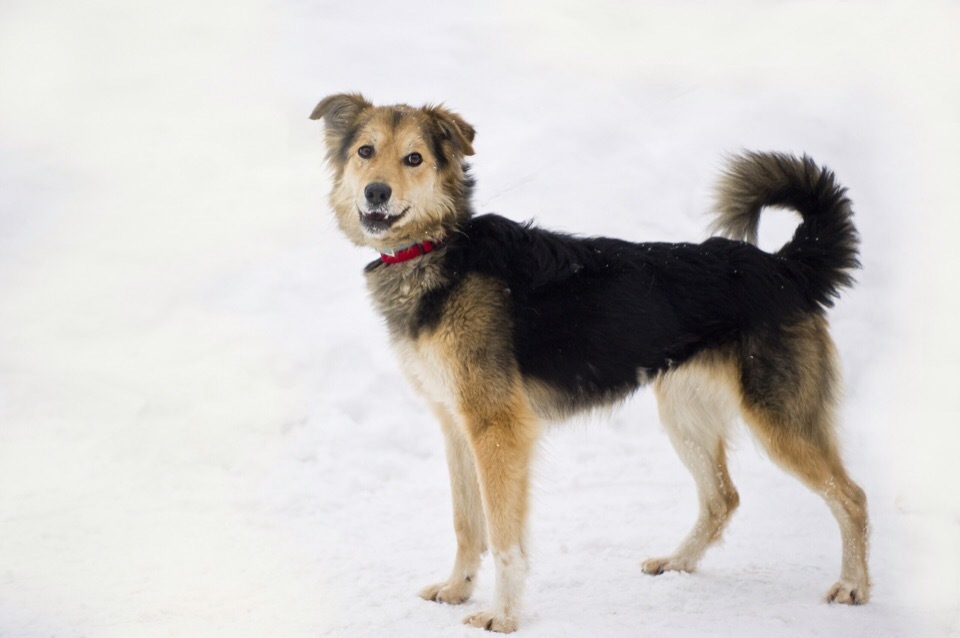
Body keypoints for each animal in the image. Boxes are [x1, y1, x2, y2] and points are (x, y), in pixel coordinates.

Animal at [310, 95, 872, 636]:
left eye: (414, 158)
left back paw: (853, 587)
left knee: (852, 496)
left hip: (779, 420)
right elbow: (467, 524)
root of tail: (784, 267)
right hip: (684, 415)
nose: (376, 193)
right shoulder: (456, 426)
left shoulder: (497, 430)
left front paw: (503, 616)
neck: (438, 247)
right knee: (723, 498)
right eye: (365, 152)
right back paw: (677, 563)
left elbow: (504, 536)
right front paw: (456, 589)